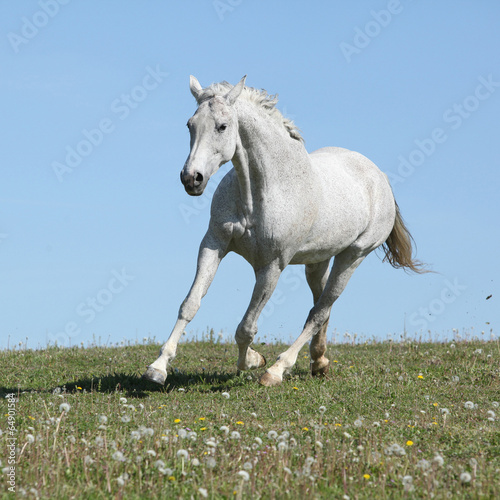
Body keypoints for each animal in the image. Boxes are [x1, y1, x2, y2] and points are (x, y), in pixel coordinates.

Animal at [142, 76, 426, 386]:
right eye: (190, 124)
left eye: (222, 126)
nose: (191, 178)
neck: (260, 191)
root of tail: (380, 177)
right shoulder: (214, 243)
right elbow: (190, 304)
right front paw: (157, 368)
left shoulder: (271, 266)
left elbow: (246, 327)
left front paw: (253, 362)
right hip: (318, 261)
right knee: (320, 307)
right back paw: (319, 362)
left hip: (352, 257)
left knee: (319, 311)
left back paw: (277, 370)